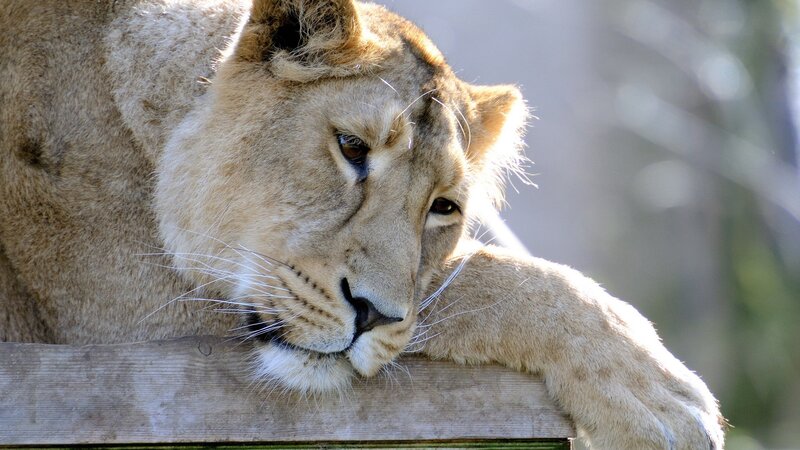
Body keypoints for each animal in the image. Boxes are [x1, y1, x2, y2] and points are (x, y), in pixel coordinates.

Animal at [0, 0, 724, 448]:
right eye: (351, 148)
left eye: (444, 207)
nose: (371, 314)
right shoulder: (125, 317)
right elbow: (479, 280)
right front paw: (658, 394)